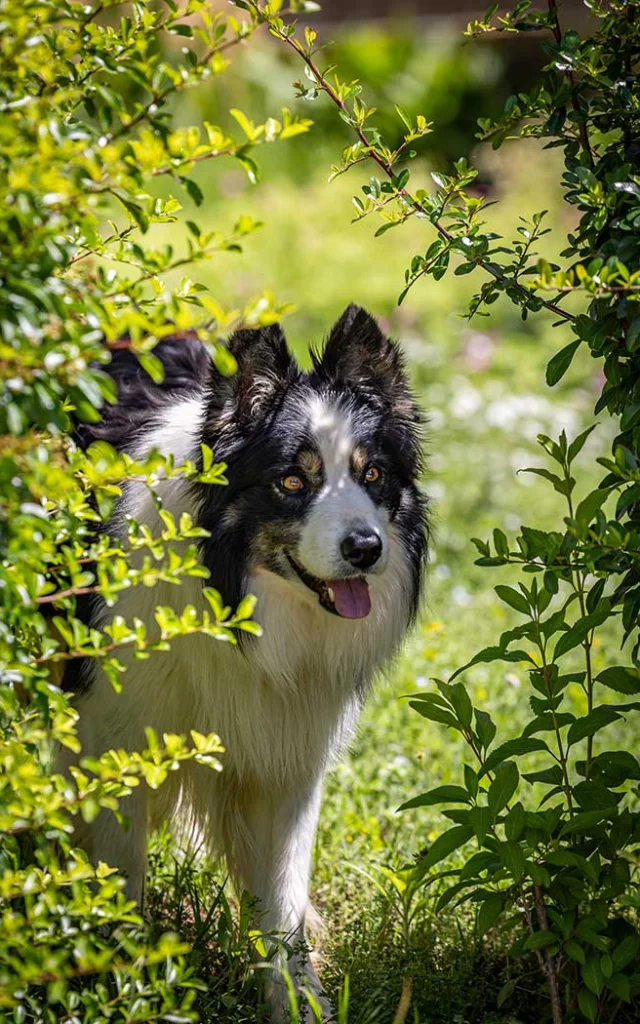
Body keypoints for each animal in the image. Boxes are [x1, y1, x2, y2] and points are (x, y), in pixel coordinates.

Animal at [61, 303, 430, 1015]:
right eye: (292, 480)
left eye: (372, 474)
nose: (366, 549)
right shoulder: (115, 739)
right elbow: (125, 881)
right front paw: (128, 990)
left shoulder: (289, 757)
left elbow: (281, 899)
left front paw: (298, 1001)